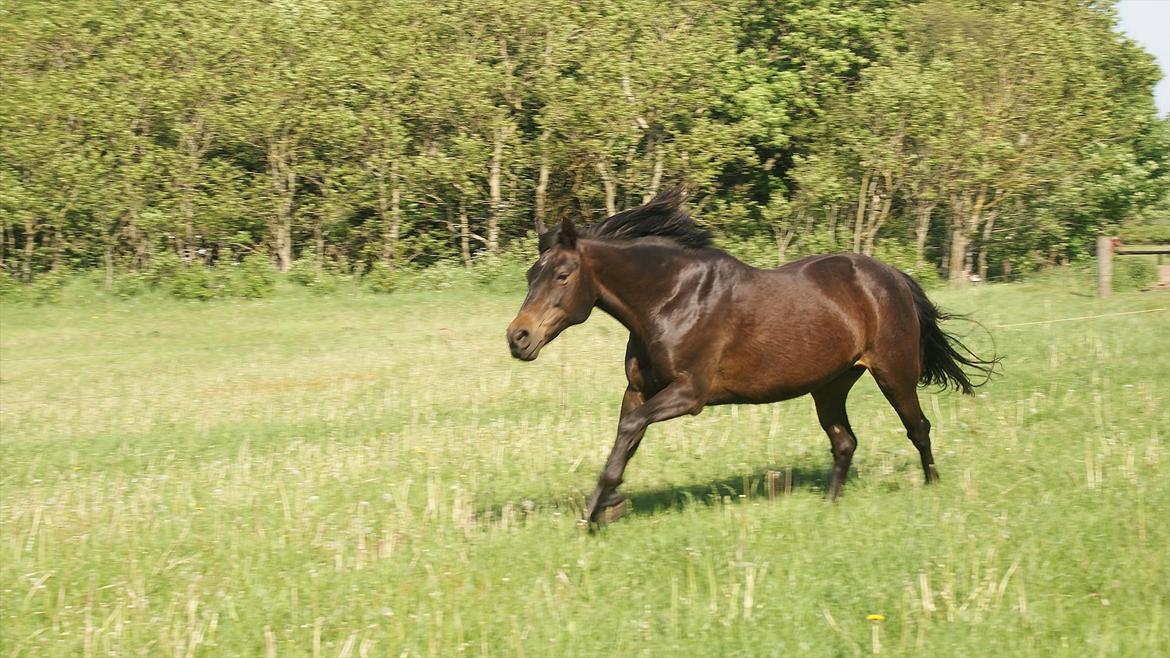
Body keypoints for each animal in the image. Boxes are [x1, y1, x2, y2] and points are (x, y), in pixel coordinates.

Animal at [505, 188, 996, 522]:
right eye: (531, 274)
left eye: (563, 274)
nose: (517, 338)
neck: (671, 299)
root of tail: (893, 275)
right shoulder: (639, 390)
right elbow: (626, 437)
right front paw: (603, 505)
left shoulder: (690, 394)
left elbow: (629, 432)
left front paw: (599, 511)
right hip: (830, 385)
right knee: (845, 441)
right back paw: (830, 504)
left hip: (893, 373)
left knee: (918, 428)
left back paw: (932, 488)